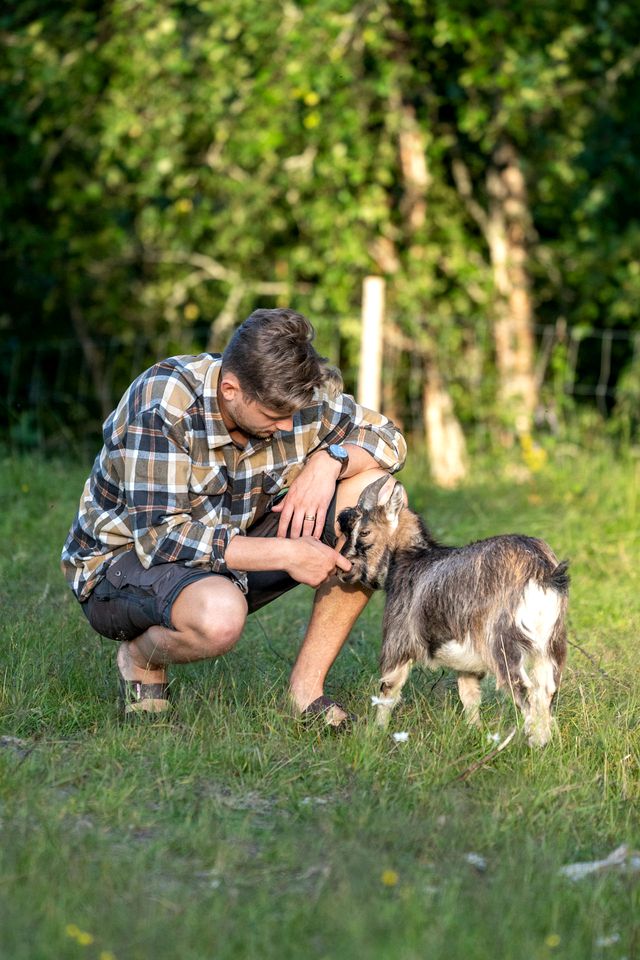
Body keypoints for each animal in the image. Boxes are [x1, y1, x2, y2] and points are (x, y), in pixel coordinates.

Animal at [338, 476, 568, 748]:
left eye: (364, 532)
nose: (342, 568)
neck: (412, 560)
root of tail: (540, 570)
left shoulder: (398, 640)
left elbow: (388, 689)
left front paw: (376, 732)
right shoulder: (467, 664)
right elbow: (469, 696)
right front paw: (475, 732)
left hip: (503, 643)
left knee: (525, 689)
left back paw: (534, 743)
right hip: (551, 643)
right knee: (546, 689)